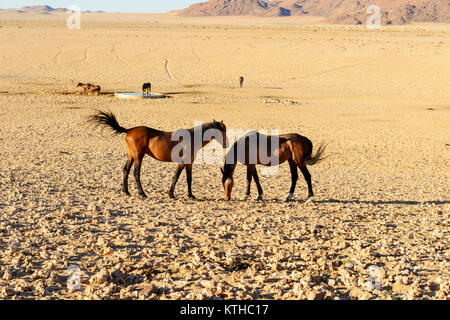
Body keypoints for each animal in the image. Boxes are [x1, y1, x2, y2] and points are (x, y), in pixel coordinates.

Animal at [89, 111, 227, 199]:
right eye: (223, 131)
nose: (226, 144)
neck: (192, 137)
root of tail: (129, 130)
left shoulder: (189, 163)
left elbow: (189, 179)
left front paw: (191, 195)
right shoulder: (182, 163)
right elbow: (175, 177)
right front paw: (171, 194)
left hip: (131, 156)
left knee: (125, 170)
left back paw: (126, 191)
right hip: (138, 157)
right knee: (136, 173)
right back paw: (142, 193)